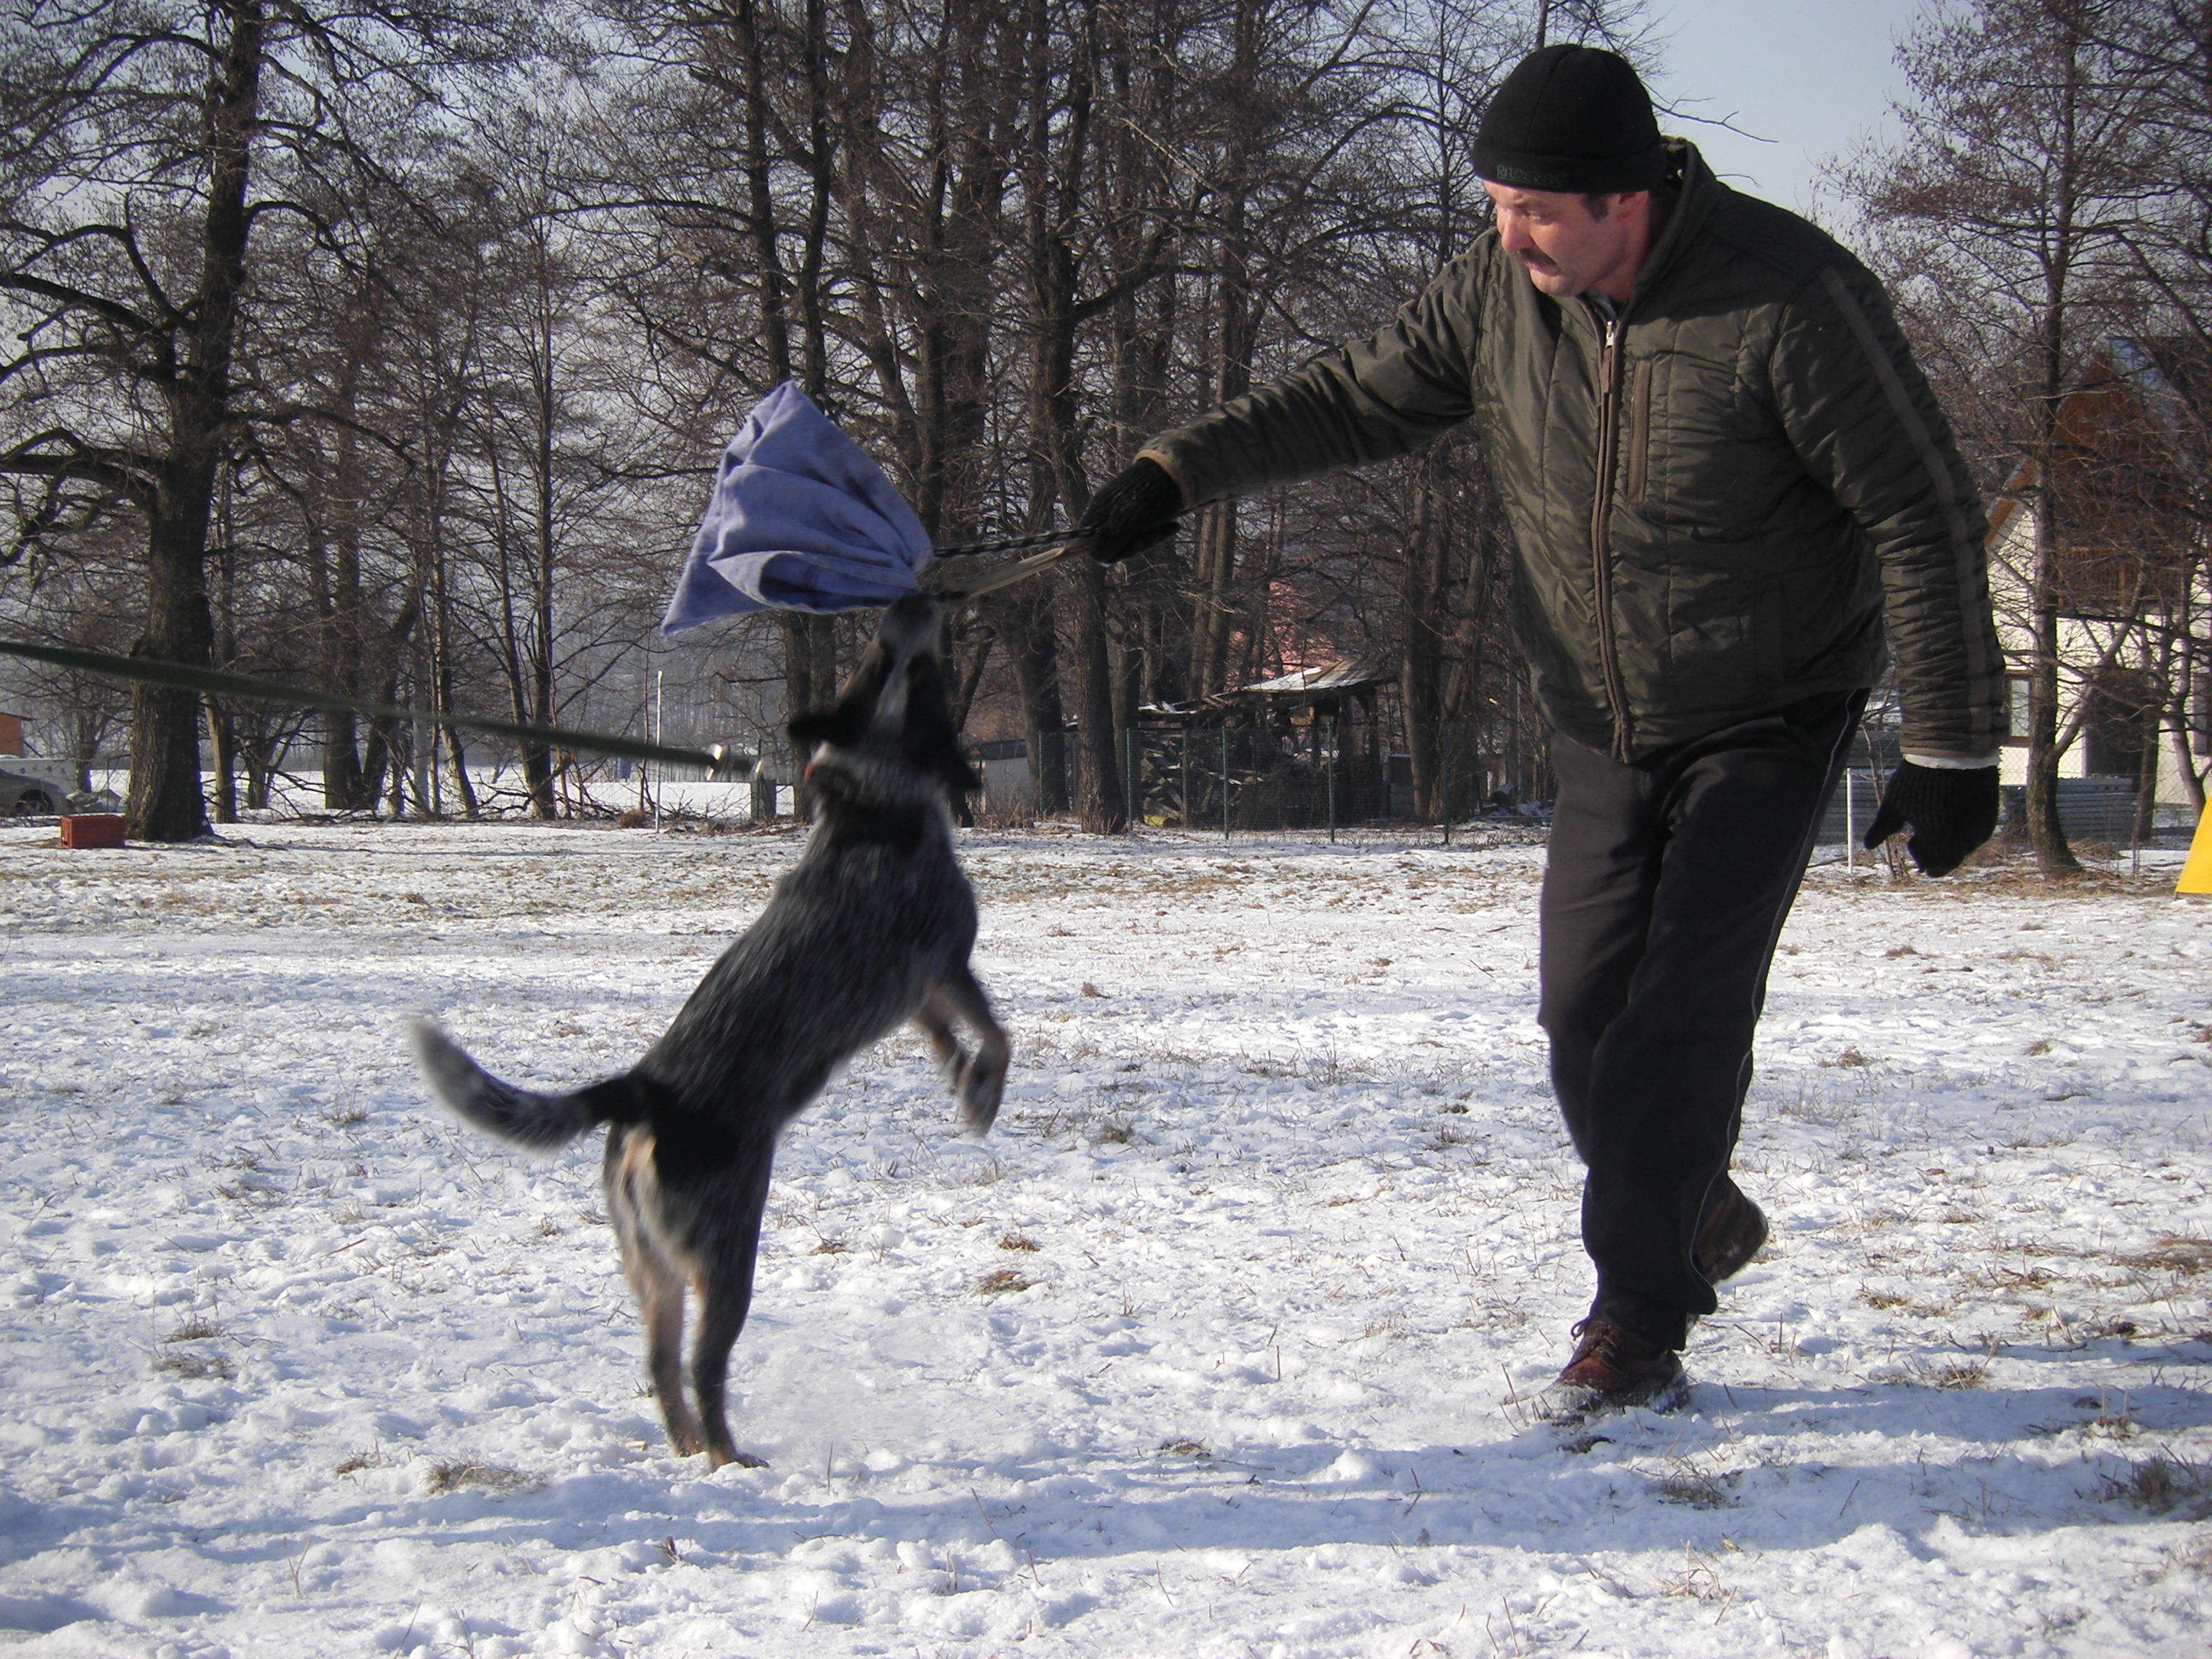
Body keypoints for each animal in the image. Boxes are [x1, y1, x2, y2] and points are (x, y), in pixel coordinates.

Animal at [411, 597, 1008, 1468]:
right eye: (910, 666)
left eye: (868, 659)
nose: (911, 602)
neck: (874, 792)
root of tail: (642, 1092)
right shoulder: (948, 960)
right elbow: (996, 1034)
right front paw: (985, 1092)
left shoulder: (917, 994)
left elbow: (949, 1039)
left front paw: (960, 1082)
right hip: (728, 1259)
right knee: (701, 1365)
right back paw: (732, 1458)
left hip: (651, 1268)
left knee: (660, 1366)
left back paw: (694, 1449)